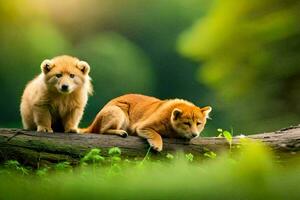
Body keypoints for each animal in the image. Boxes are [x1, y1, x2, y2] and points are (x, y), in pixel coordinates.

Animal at [81, 94, 212, 151]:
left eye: (198, 123)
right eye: (187, 123)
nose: (195, 134)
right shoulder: (142, 126)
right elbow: (156, 134)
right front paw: (157, 145)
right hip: (118, 111)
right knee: (101, 131)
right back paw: (120, 132)